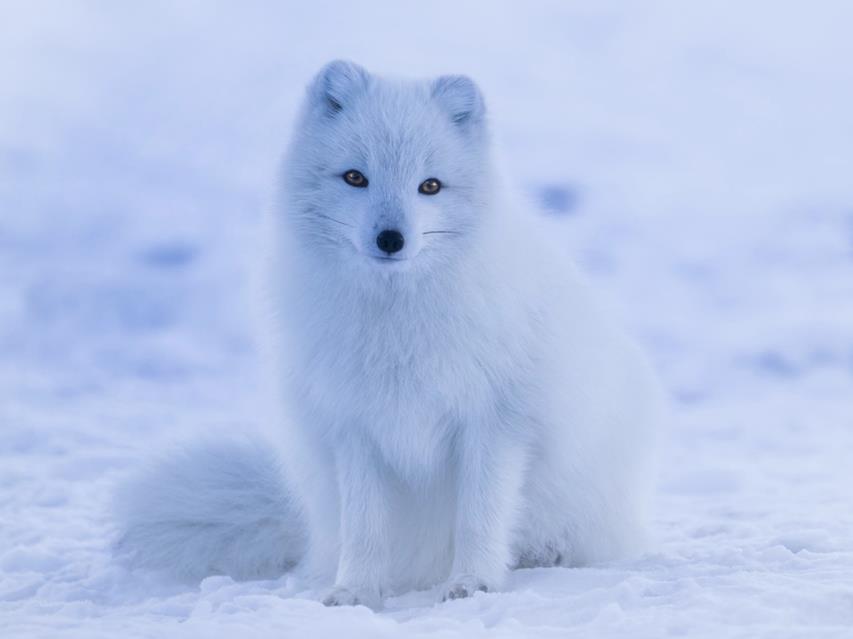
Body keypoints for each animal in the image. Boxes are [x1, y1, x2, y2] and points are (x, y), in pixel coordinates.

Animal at [115, 60, 663, 609]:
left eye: (430, 186)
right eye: (355, 177)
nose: (391, 239)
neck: (396, 322)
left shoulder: (495, 423)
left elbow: (480, 517)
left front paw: (473, 583)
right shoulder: (354, 428)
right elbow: (365, 528)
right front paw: (355, 591)